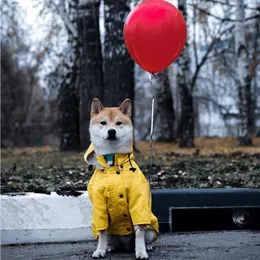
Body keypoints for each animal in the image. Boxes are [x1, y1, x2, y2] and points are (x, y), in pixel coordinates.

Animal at [85, 98, 158, 258]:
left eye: (118, 123)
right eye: (103, 123)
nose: (111, 131)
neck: (113, 163)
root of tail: (125, 245)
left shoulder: (138, 200)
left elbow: (139, 232)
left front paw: (141, 251)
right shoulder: (99, 204)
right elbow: (102, 231)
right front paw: (100, 250)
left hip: (151, 229)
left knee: (146, 235)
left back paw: (148, 246)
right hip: (111, 233)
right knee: (108, 238)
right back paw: (109, 246)